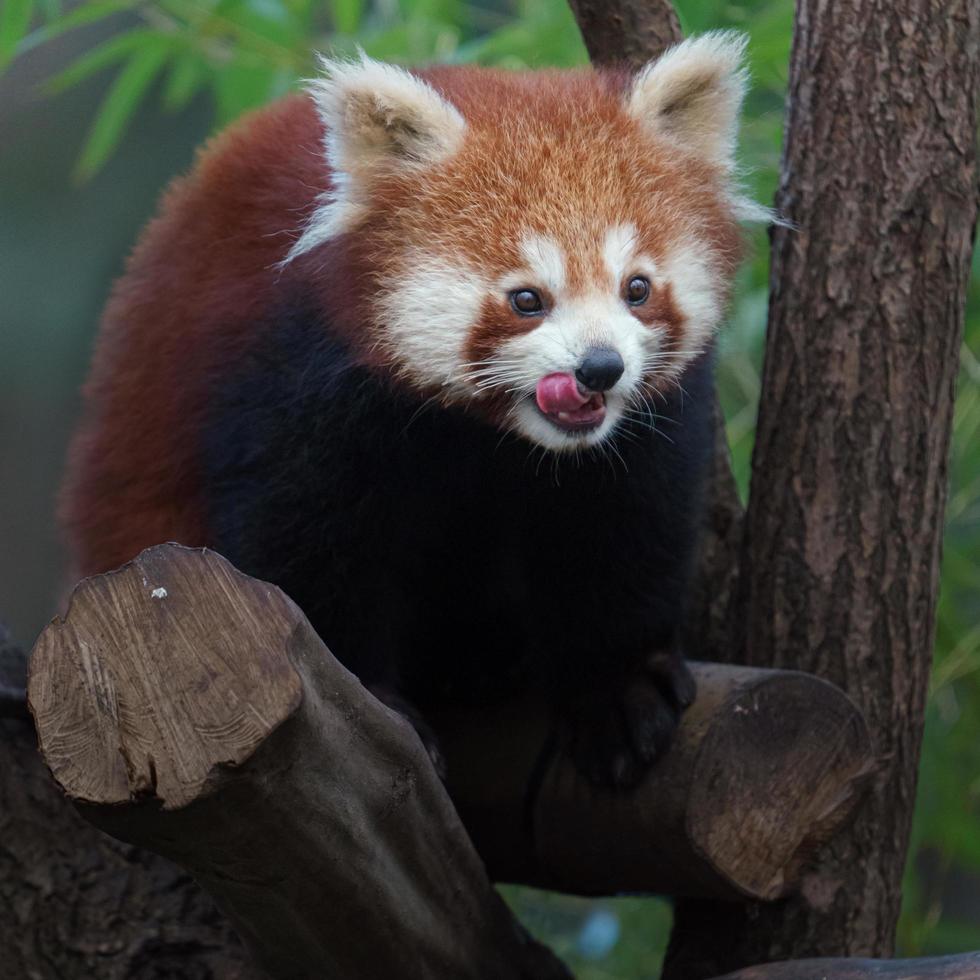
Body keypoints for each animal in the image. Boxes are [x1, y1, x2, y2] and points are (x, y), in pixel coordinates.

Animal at [63, 32, 756, 788]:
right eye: (526, 299)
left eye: (636, 288)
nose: (599, 368)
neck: (492, 433)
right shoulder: (296, 378)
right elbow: (305, 544)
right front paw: (369, 695)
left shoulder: (641, 433)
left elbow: (622, 524)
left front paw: (616, 689)